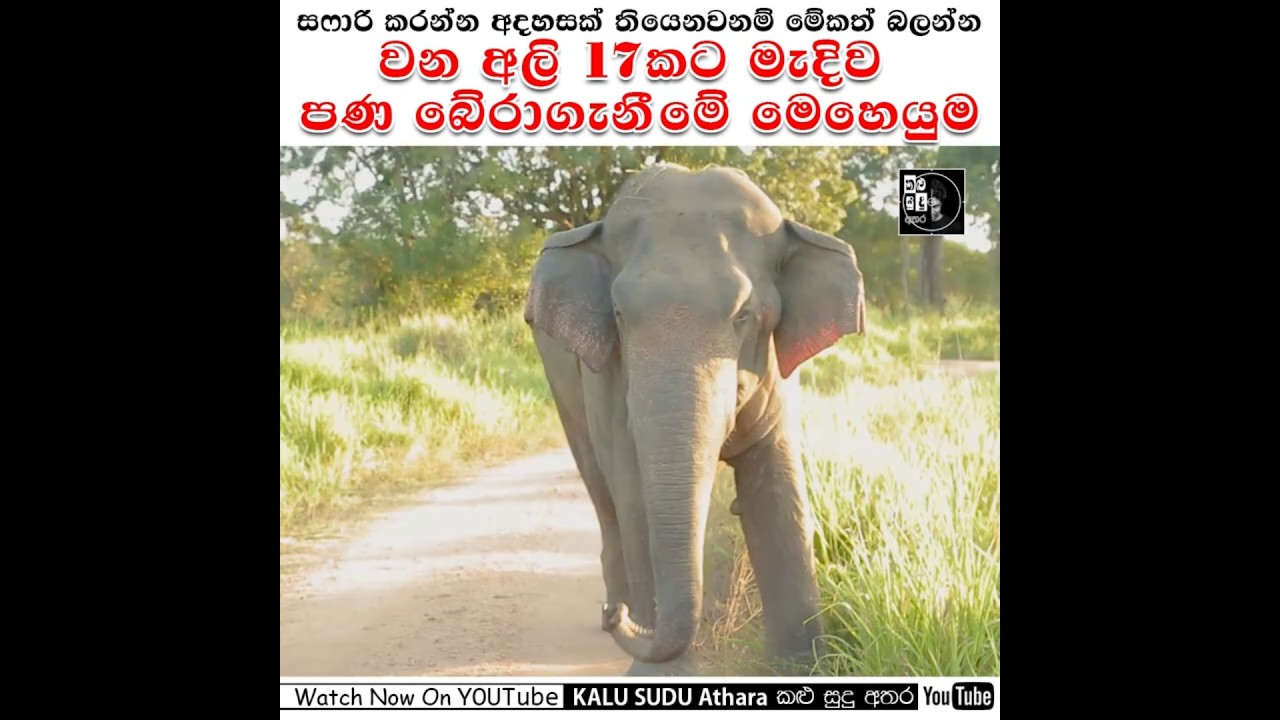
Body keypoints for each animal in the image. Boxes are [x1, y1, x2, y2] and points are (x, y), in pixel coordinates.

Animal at [523, 163, 867, 675]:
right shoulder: (605, 379)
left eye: (744, 315)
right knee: (601, 487)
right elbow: (635, 496)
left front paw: (801, 669)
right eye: (618, 314)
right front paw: (659, 675)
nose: (614, 616)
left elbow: (778, 490)